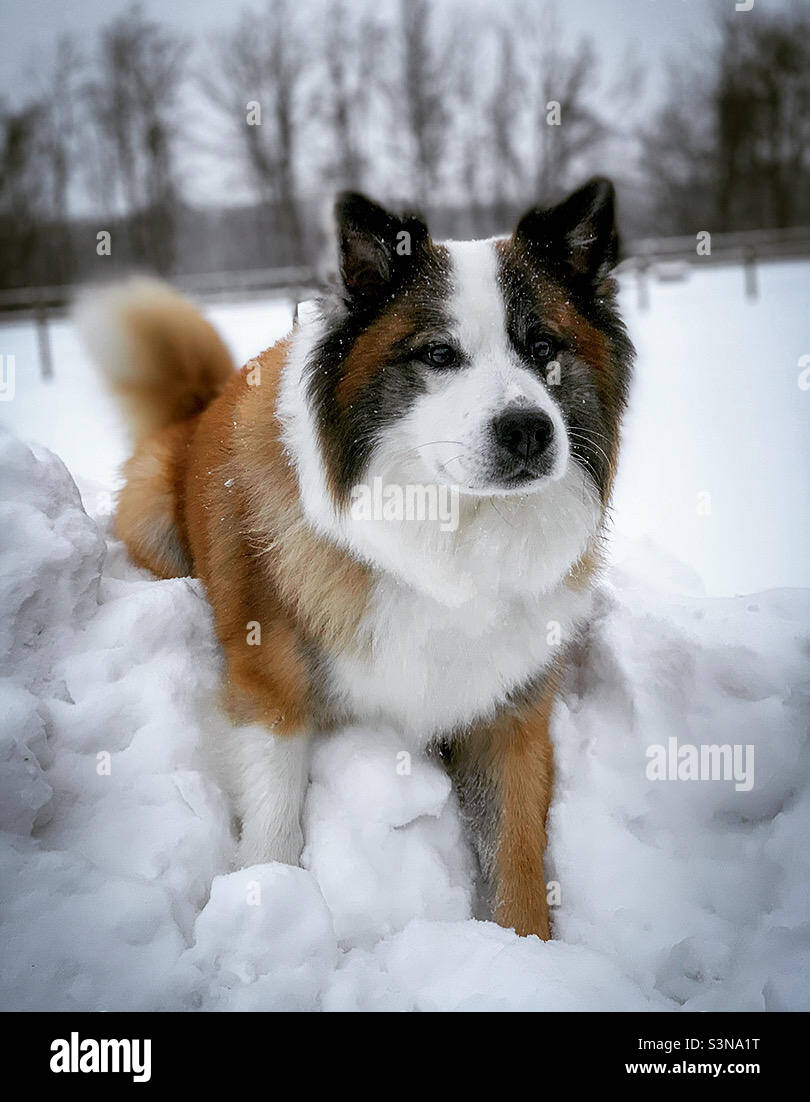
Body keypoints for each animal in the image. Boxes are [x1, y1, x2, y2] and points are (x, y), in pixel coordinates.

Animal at [77, 180, 634, 938]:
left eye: (543, 345)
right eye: (438, 355)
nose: (528, 430)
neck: (451, 537)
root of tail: (201, 406)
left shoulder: (510, 712)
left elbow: (516, 856)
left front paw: (527, 952)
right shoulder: (270, 688)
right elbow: (274, 820)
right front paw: (262, 909)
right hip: (153, 522)